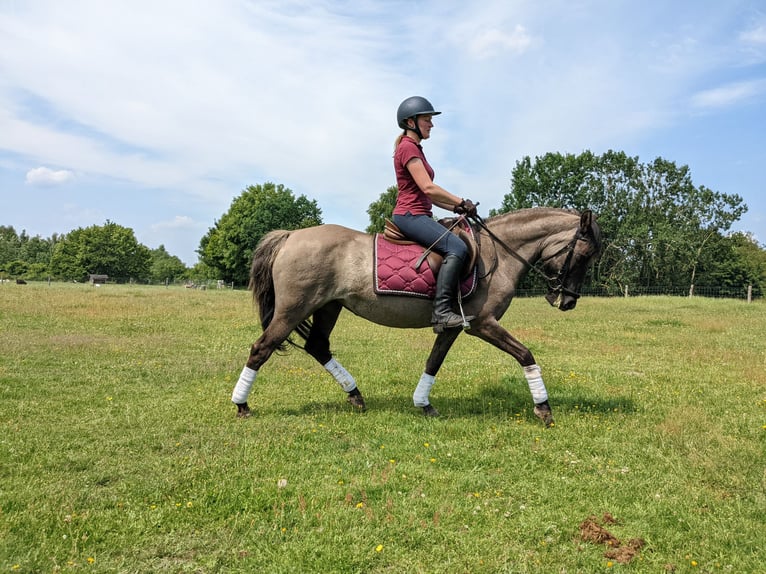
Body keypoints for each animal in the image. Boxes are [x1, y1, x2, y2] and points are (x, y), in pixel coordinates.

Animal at [231, 208, 604, 428]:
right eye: (585, 254)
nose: (568, 301)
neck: (498, 254)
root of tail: (290, 236)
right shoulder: (483, 324)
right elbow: (525, 353)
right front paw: (543, 408)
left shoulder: (455, 325)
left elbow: (433, 361)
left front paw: (423, 404)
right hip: (294, 308)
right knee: (261, 348)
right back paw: (242, 405)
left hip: (328, 306)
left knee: (318, 347)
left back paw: (356, 396)